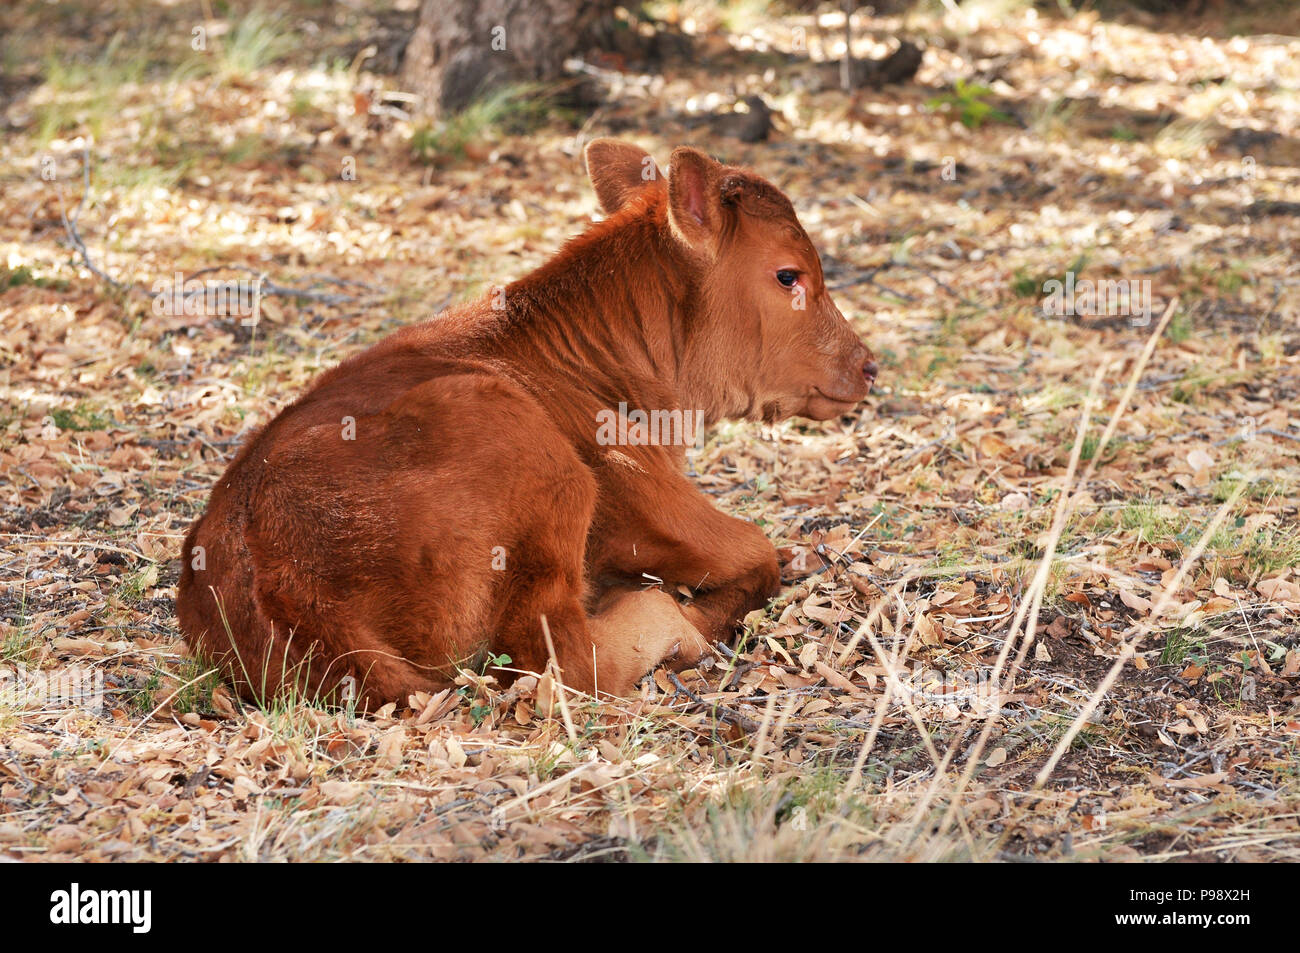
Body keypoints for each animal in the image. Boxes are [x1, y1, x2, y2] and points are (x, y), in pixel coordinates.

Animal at [178, 141, 878, 707]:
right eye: (788, 275)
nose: (868, 366)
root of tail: (265, 562)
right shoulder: (651, 499)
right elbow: (758, 551)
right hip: (545, 466)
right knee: (563, 662)